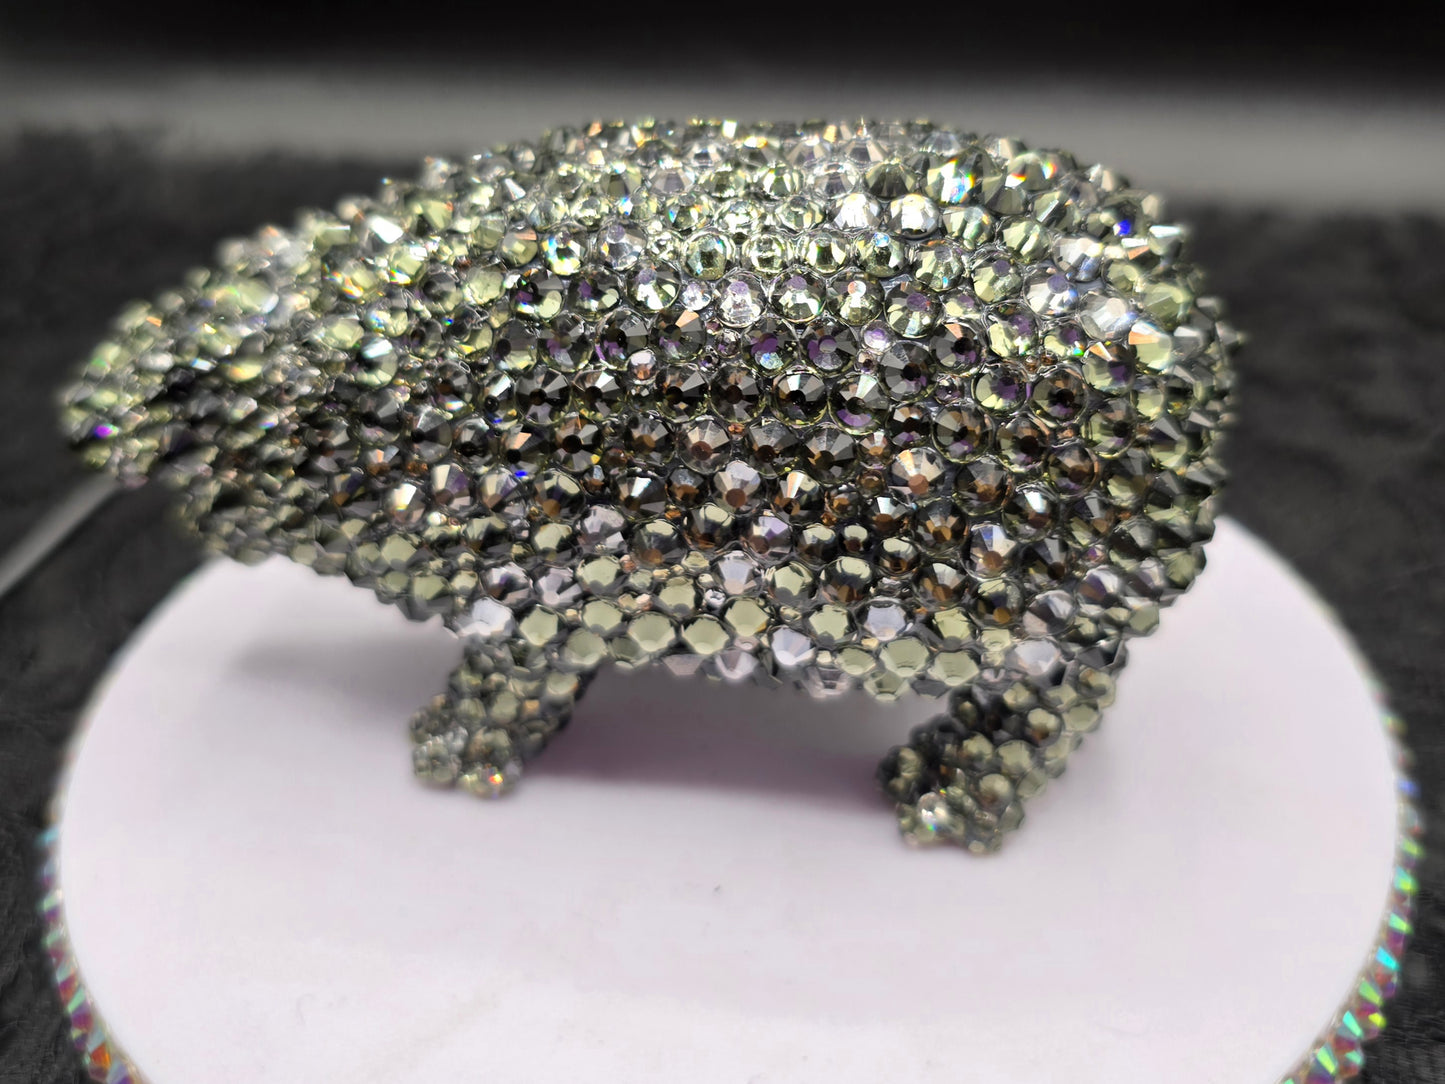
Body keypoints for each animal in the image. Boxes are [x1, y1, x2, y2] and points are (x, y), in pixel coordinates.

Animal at [61, 118, 1237, 851]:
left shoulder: (543, 586)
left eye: (183, 388)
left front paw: (456, 744)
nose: (84, 411)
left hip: (1049, 605)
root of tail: (1186, 333)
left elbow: (512, 673)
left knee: (1061, 693)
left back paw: (949, 787)